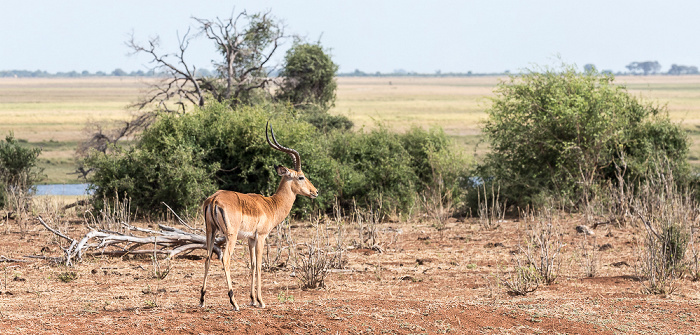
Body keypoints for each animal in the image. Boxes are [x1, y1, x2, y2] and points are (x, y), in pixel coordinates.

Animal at [197, 122, 318, 312]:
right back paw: (234, 302)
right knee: (225, 259)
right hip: (230, 236)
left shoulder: (250, 239)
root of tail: (214, 199)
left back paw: (202, 300)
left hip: (211, 232)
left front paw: (253, 299)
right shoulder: (261, 237)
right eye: (301, 176)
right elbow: (260, 265)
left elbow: (253, 264)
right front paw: (261, 300)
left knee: (207, 259)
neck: (271, 204)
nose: (315, 192)